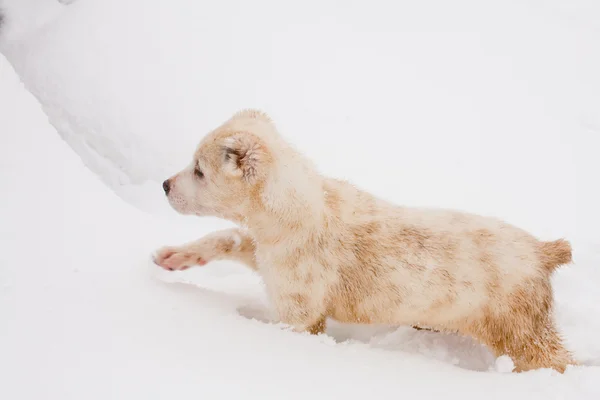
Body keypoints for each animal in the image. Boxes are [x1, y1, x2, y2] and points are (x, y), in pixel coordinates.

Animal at [154, 108, 576, 372]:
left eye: (199, 170)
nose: (164, 185)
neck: (299, 207)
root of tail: (543, 251)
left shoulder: (300, 306)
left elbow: (293, 329)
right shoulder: (266, 251)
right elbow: (228, 236)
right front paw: (174, 256)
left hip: (520, 329)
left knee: (554, 359)